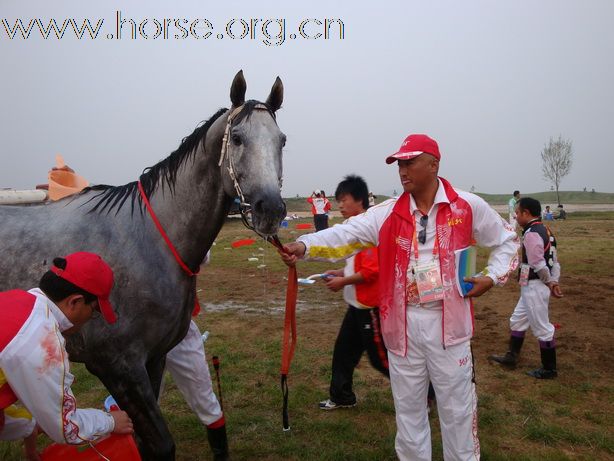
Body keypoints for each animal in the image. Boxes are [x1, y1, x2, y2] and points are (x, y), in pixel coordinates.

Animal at [0, 70, 288, 458]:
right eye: (239, 138)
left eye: (281, 141)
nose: (270, 209)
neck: (149, 240)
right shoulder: (117, 366)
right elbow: (160, 445)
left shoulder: (154, 359)